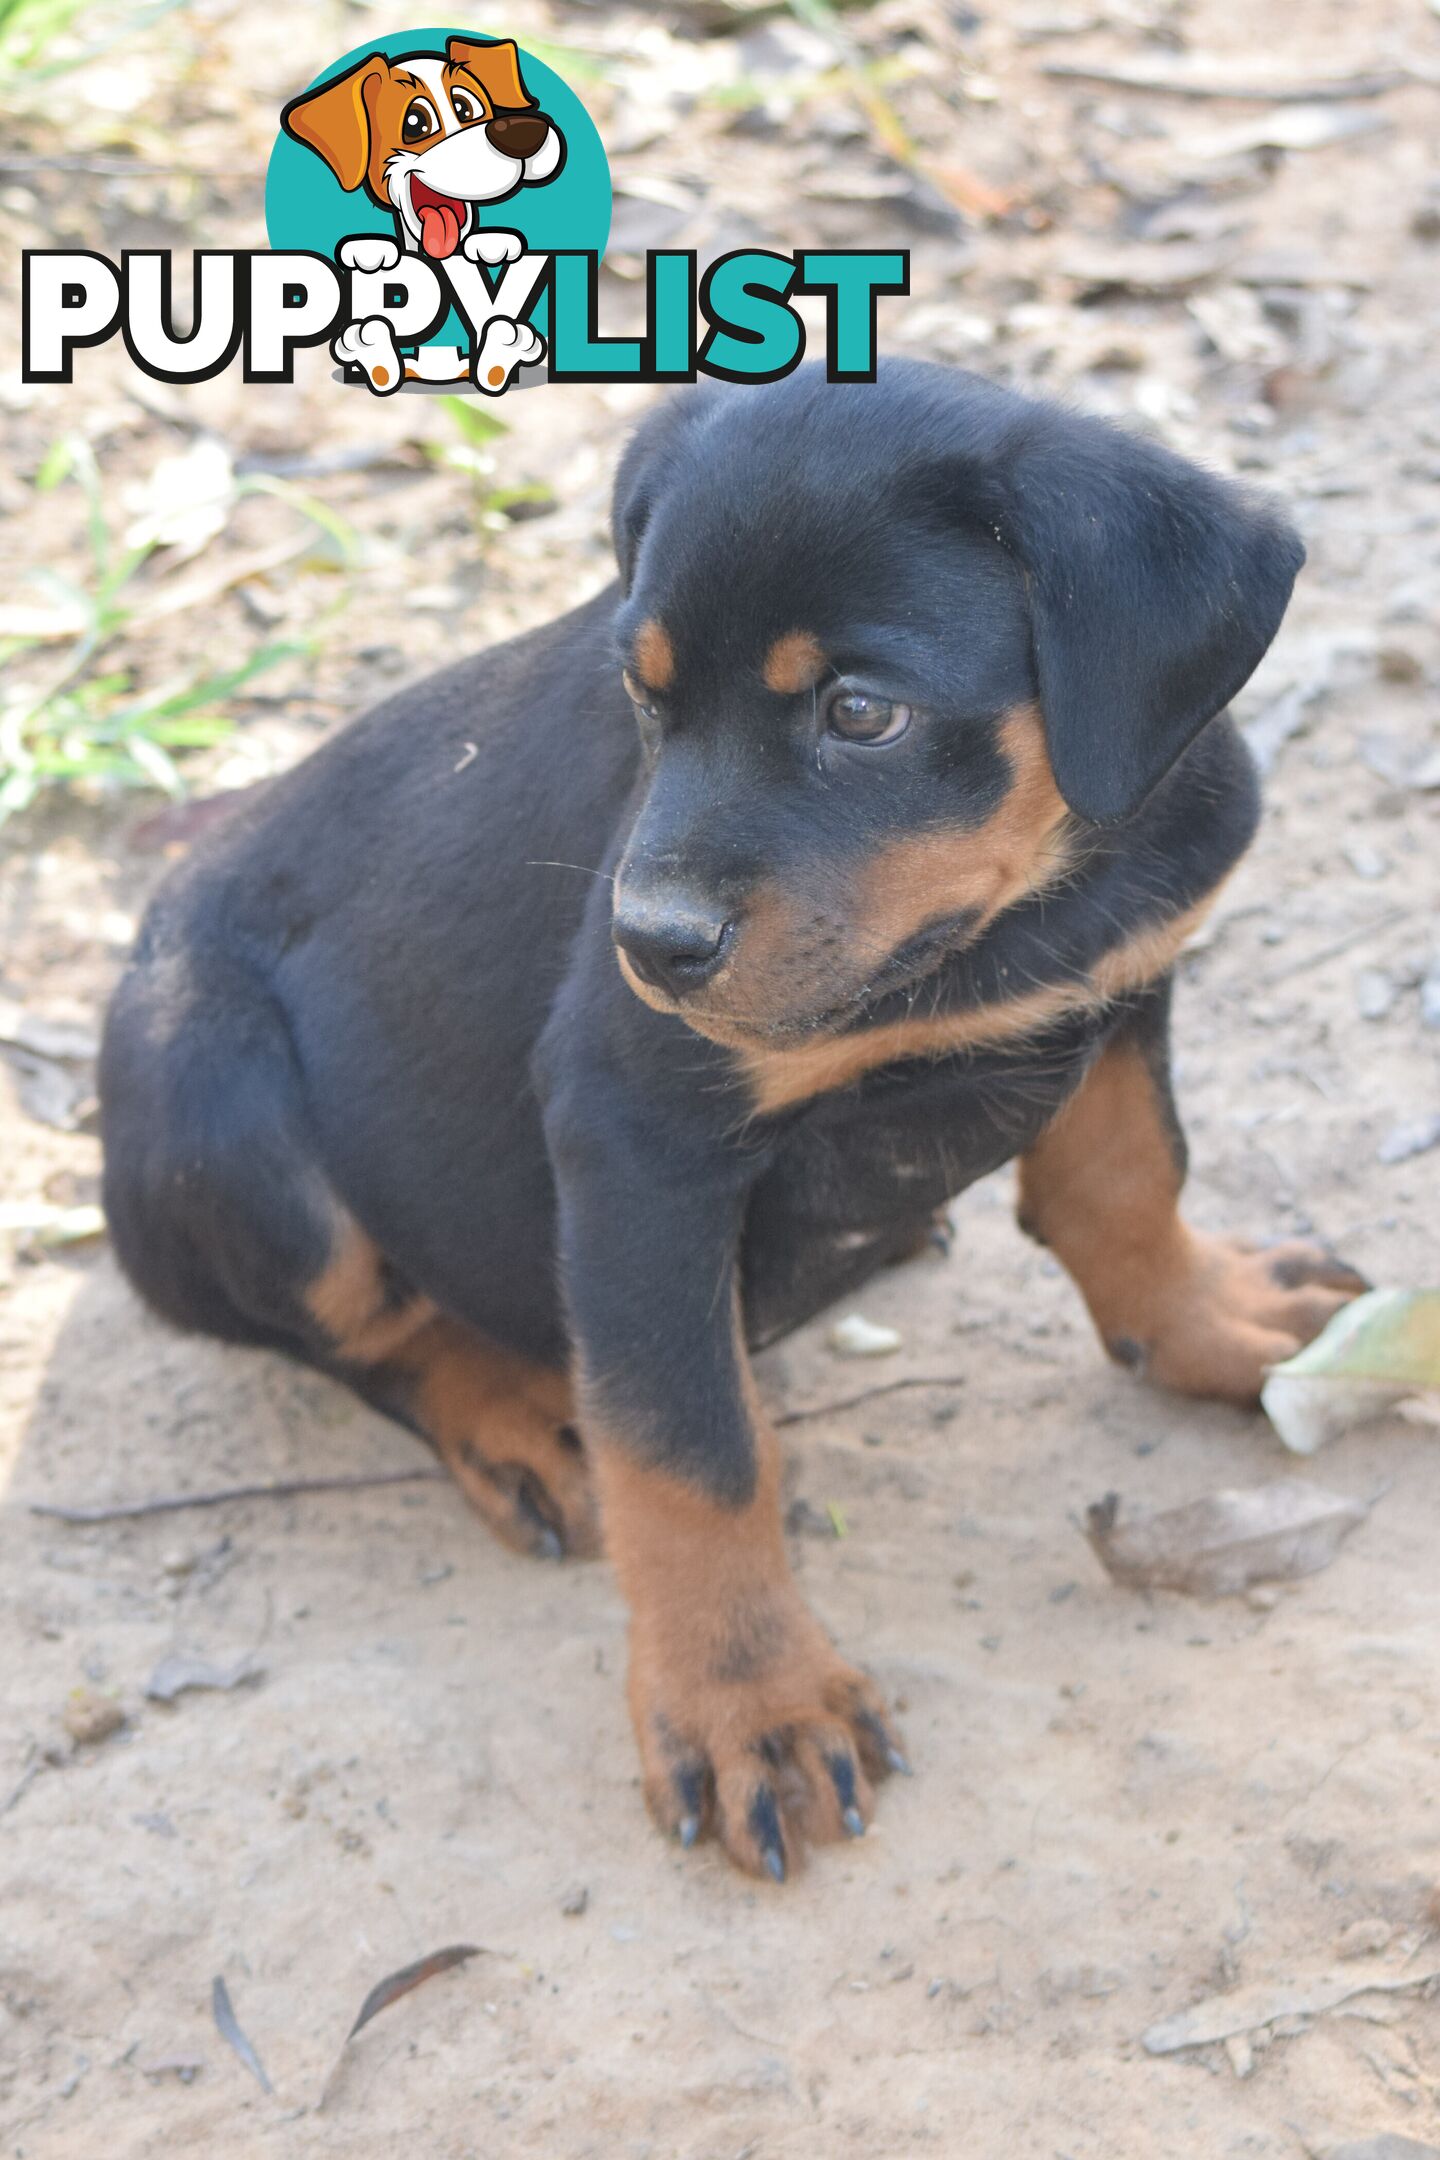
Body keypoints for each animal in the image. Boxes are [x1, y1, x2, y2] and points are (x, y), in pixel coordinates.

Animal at [101, 362, 1364, 1883]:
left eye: (862, 712)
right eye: (640, 699)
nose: (648, 944)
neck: (1015, 913)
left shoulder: (1121, 982)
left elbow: (1130, 1176)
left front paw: (1213, 1322)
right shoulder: (636, 1133)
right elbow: (687, 1445)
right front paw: (747, 1706)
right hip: (217, 1106)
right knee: (363, 1325)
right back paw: (519, 1419)